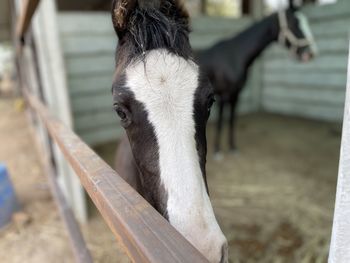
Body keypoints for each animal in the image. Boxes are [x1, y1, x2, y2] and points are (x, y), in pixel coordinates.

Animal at [197, 0, 318, 157]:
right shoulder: (223, 96)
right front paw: (217, 151)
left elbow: (231, 120)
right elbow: (221, 122)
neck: (233, 56)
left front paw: (232, 148)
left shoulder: (236, 95)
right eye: (294, 23)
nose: (310, 53)